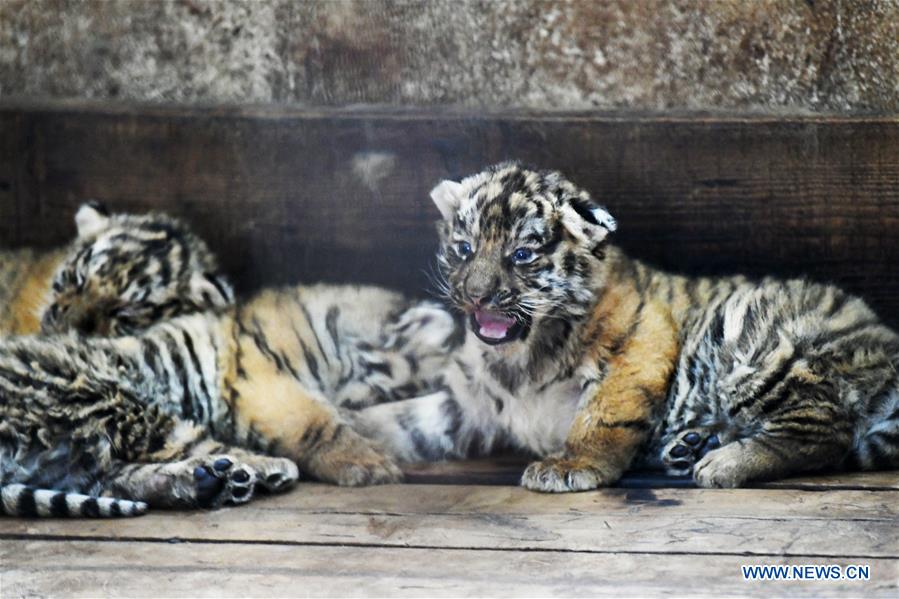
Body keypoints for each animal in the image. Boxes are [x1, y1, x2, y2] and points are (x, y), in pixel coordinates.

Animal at [1, 281, 457, 517]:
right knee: (185, 441)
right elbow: (317, 423)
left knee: (115, 476)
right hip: (104, 392)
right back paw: (261, 470)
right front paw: (370, 464)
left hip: (77, 450)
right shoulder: (262, 382)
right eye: (404, 390)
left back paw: (210, 481)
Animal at [350, 162, 899, 491]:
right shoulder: (471, 402)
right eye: (464, 249)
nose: (475, 295)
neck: (520, 357)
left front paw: (570, 466)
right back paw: (691, 446)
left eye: (521, 255)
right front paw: (349, 440)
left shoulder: (638, 345)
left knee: (825, 431)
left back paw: (721, 464)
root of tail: (882, 336)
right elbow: (403, 419)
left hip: (754, 342)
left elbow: (600, 416)